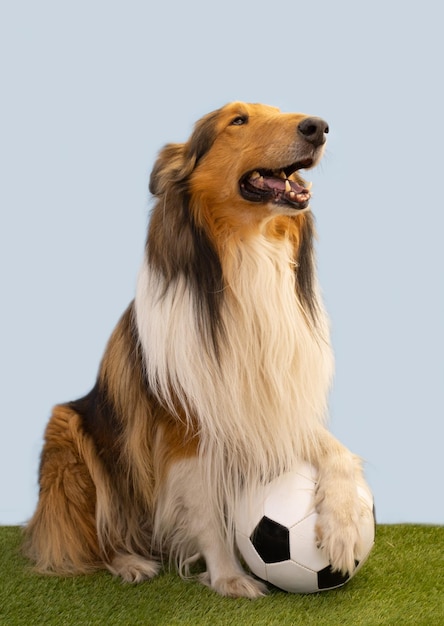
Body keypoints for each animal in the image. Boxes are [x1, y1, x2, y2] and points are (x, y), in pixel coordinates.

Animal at [24, 101, 368, 596]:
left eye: (280, 110)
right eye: (238, 120)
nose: (318, 127)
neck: (246, 256)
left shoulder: (273, 402)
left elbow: (337, 451)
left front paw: (344, 526)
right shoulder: (186, 425)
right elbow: (205, 508)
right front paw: (228, 577)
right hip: (70, 436)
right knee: (93, 534)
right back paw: (129, 562)